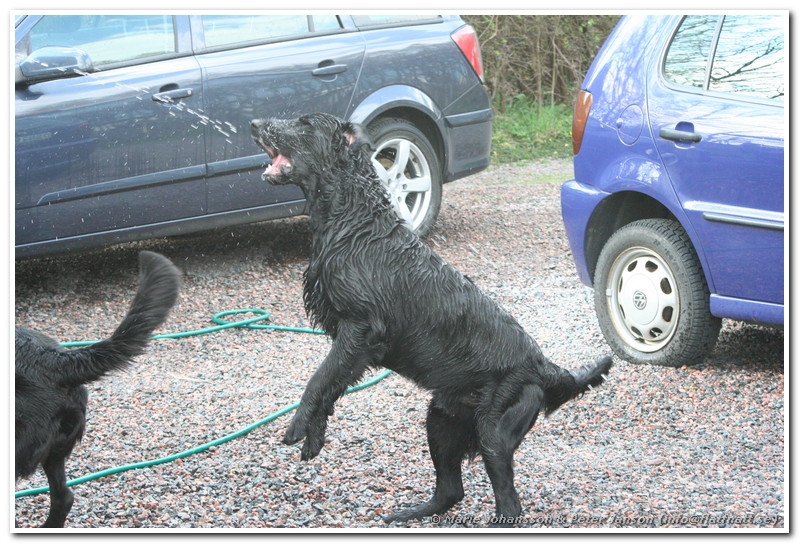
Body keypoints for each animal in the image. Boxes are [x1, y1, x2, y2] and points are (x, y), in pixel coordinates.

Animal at [251, 112, 612, 526]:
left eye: (304, 124)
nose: (254, 123)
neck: (351, 220)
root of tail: (544, 365)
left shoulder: (360, 329)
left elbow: (318, 380)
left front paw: (296, 426)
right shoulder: (350, 343)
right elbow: (331, 385)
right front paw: (315, 437)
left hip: (493, 429)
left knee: (508, 501)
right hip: (440, 418)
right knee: (451, 490)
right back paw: (408, 513)